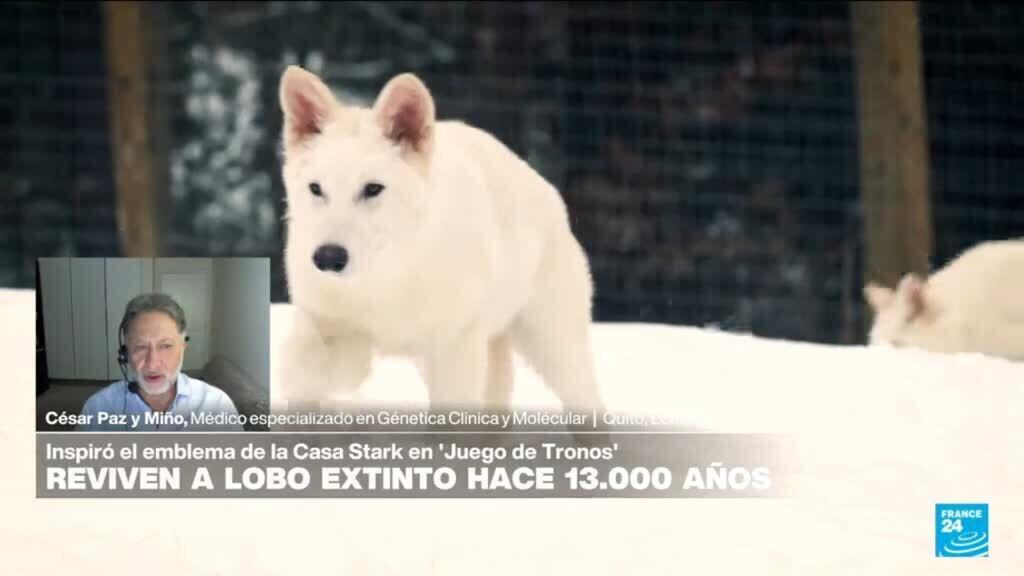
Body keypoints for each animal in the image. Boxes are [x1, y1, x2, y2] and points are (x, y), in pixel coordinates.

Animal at [275, 66, 604, 413]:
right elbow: (312, 369)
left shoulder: (453, 350)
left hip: (555, 348)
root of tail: (541, 183)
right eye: (316, 189)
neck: (385, 280)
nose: (327, 258)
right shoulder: (319, 321)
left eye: (373, 188)